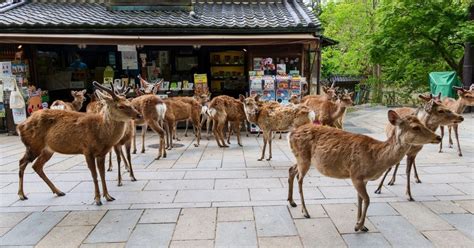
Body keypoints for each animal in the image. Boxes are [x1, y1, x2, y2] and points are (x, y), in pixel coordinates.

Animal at [288, 110, 440, 231]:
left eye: (422, 123)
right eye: (415, 127)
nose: (438, 137)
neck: (376, 158)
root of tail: (291, 133)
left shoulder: (363, 179)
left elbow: (360, 199)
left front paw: (361, 225)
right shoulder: (356, 174)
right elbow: (367, 199)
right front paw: (359, 226)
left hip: (301, 158)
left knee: (291, 170)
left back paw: (291, 202)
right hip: (303, 157)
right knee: (300, 178)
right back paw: (305, 212)